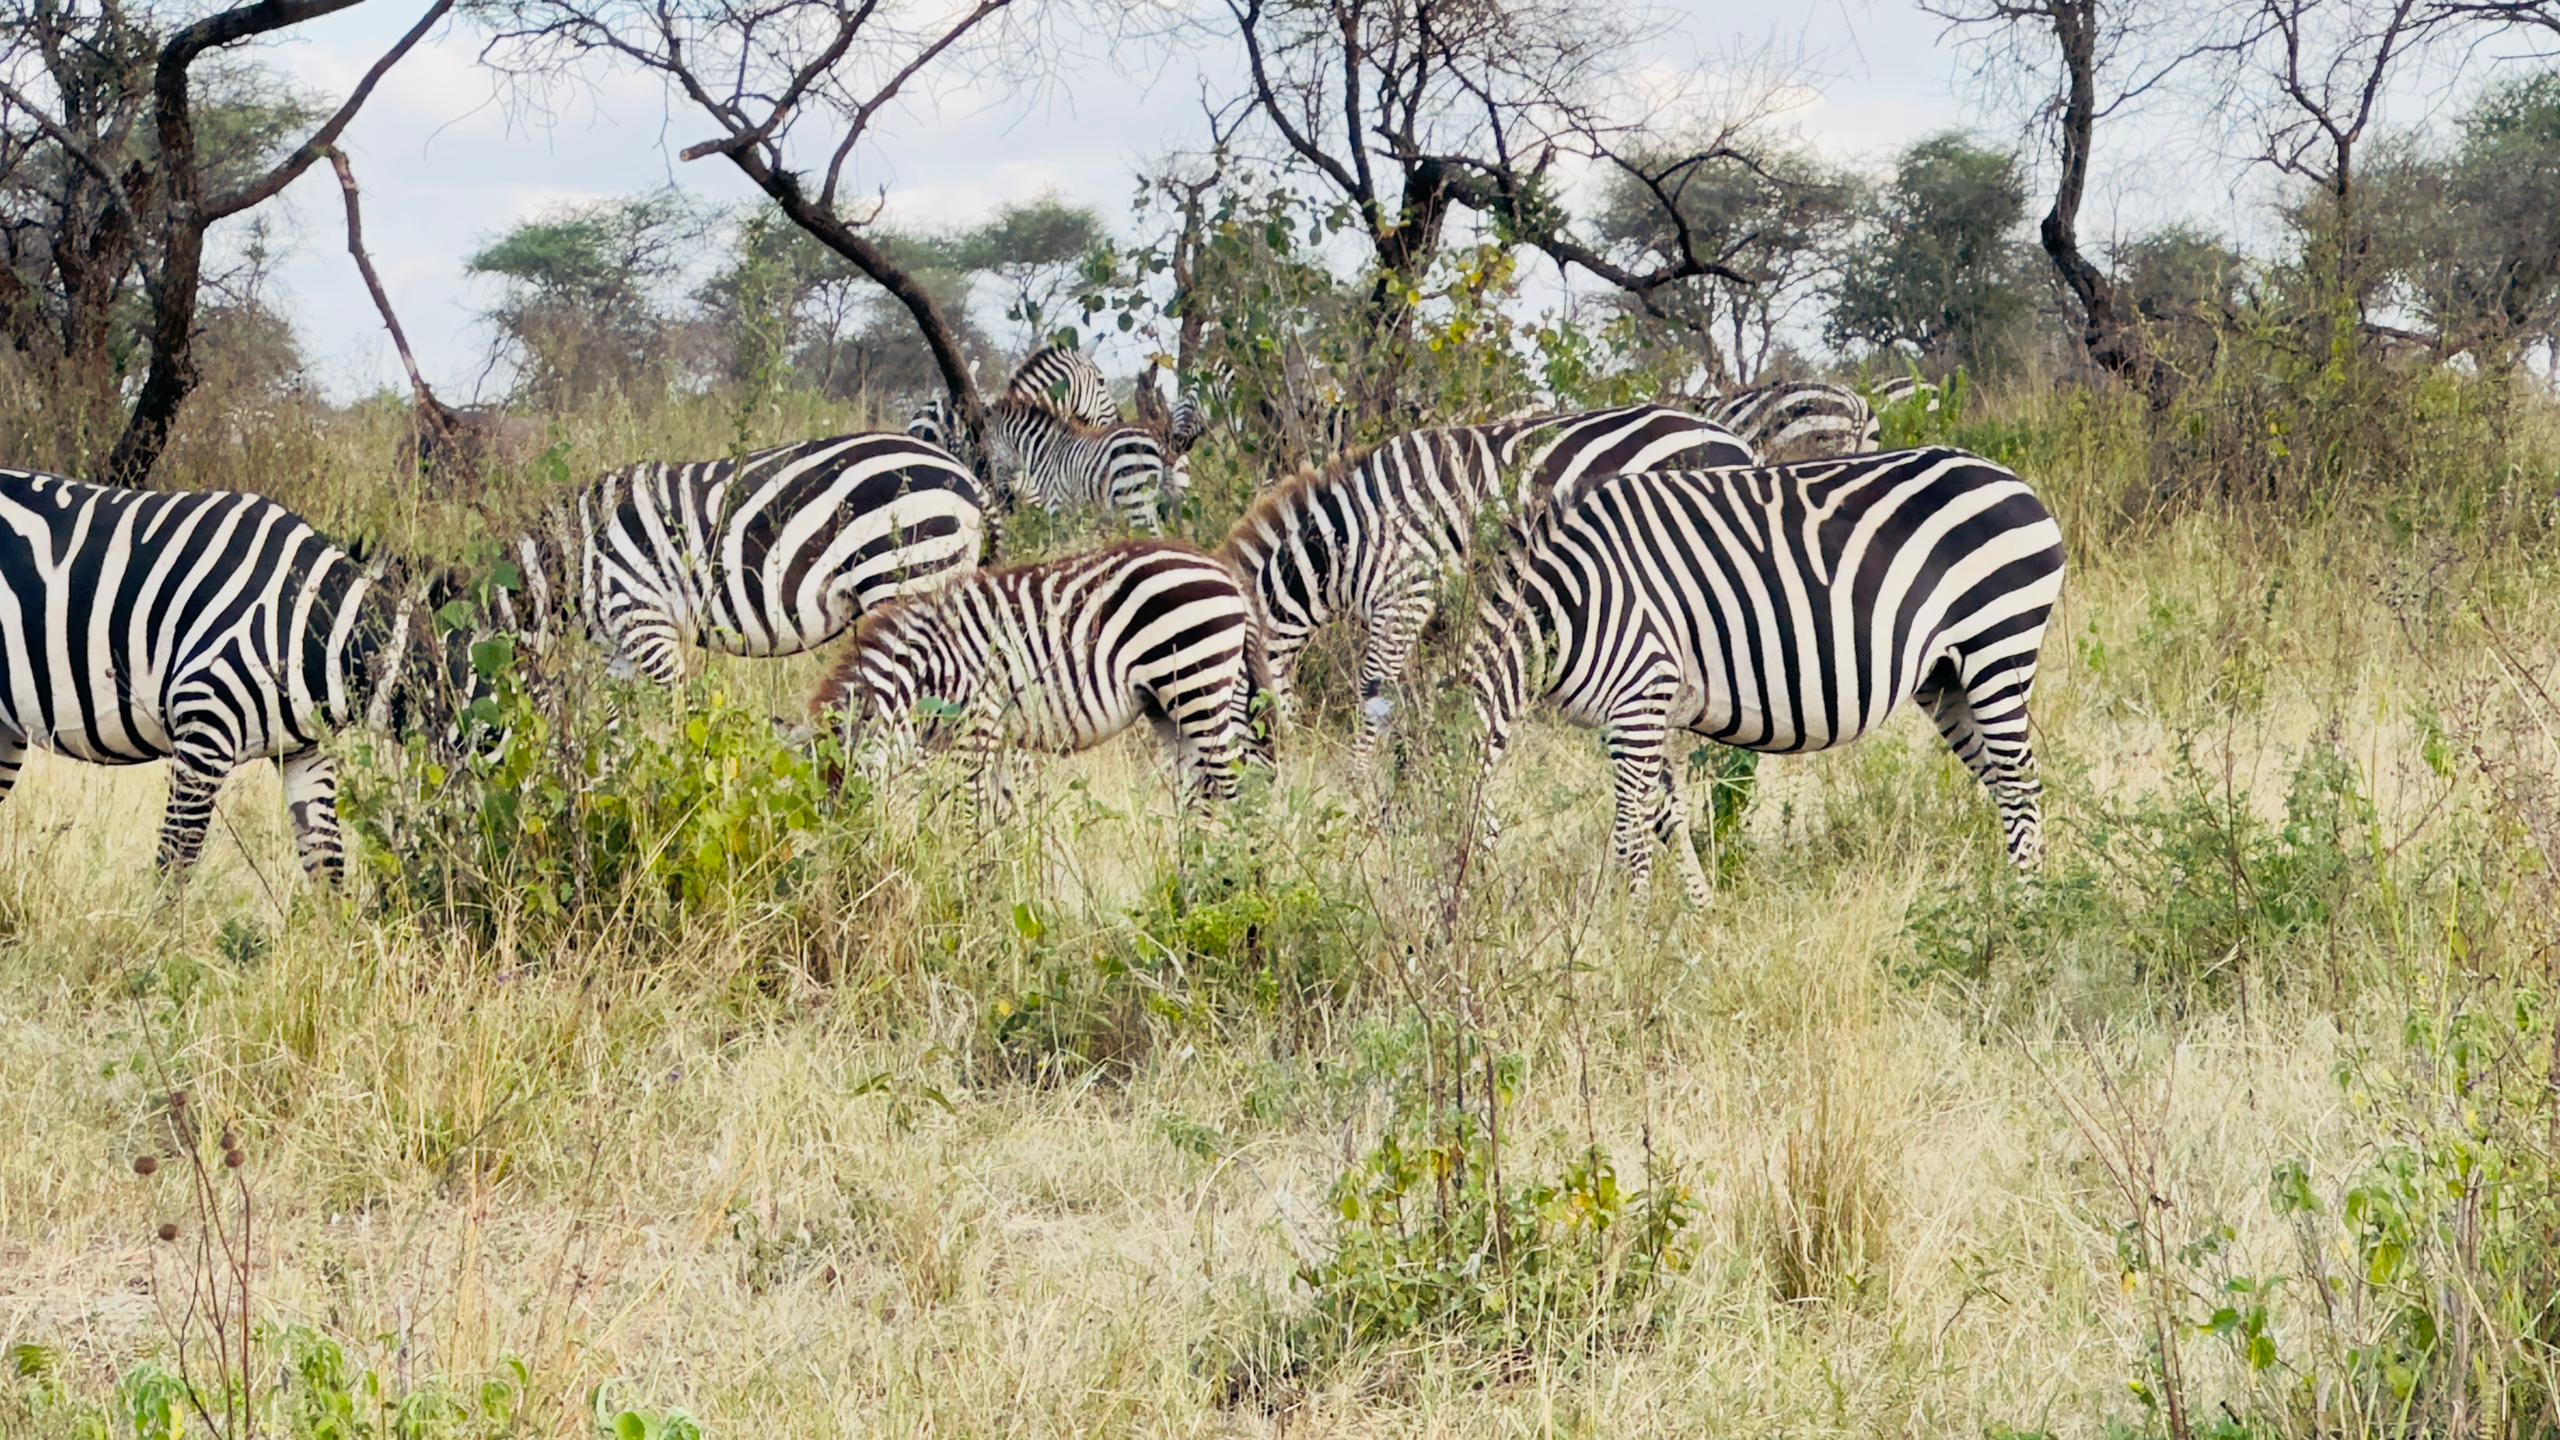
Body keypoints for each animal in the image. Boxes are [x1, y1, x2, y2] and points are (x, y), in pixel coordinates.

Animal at [502, 433, 988, 688]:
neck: (572, 561)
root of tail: (966, 477)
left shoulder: (644, 622)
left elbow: (676, 714)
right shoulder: (618, 647)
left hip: (907, 576)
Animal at [807, 539, 1270, 812]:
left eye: (854, 803)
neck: (925, 674)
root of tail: (1222, 572)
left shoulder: (976, 730)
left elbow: (969, 816)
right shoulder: (993, 740)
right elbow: (1000, 817)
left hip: (1197, 681)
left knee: (1233, 788)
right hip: (1174, 703)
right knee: (1202, 793)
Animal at [1218, 403, 1755, 783]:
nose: (1251, 802)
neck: (1351, 536)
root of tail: (1738, 444)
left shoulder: (1406, 592)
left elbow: (1375, 692)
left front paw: (1360, 786)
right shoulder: (1435, 617)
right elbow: (1424, 697)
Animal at [1464, 447, 2065, 905]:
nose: (1468, 929)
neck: (1569, 602)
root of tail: (2016, 483)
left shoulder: (1641, 693)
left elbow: (1630, 831)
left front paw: (1631, 929)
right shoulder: (1638, 714)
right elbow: (1667, 817)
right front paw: (1698, 911)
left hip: (1997, 647)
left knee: (2019, 783)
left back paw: (2024, 909)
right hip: (1947, 678)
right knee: (2007, 782)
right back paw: (2028, 893)